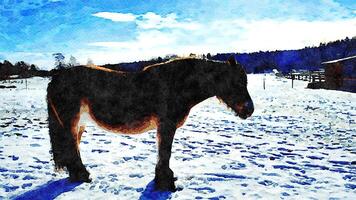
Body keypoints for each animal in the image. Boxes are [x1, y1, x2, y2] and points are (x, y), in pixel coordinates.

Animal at [46, 55, 253, 191]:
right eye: (237, 82)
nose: (249, 109)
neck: (178, 84)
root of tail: (56, 77)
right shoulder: (166, 126)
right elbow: (165, 153)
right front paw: (165, 183)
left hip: (79, 125)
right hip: (71, 123)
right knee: (72, 149)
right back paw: (82, 176)